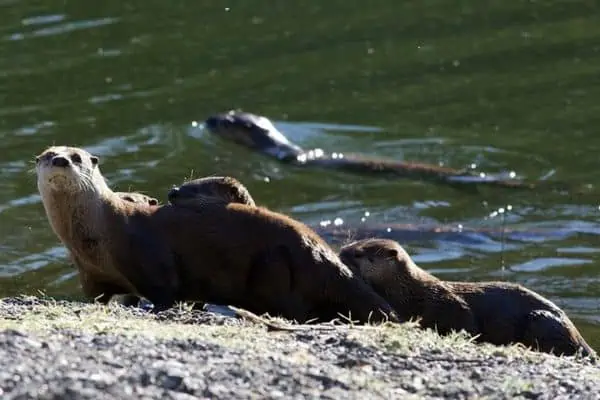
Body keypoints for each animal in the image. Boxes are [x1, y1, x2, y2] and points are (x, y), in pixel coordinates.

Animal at [36, 147, 398, 324]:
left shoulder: (150, 256)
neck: (96, 236)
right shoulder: (91, 275)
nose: (60, 160)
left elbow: (165, 290)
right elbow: (99, 297)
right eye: (48, 155)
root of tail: (317, 248)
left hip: (274, 268)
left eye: (77, 157)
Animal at [338, 239, 596, 358]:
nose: (340, 252)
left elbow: (467, 323)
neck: (414, 292)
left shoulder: (450, 304)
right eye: (352, 243)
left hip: (541, 319)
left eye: (358, 253)